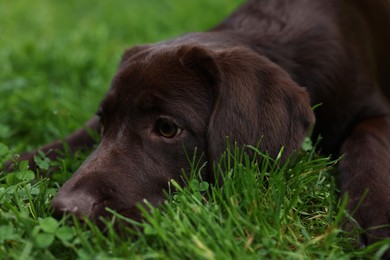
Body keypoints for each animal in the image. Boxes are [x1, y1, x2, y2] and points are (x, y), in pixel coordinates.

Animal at [7, 0, 388, 248]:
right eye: (104, 121)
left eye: (167, 129)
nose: (66, 210)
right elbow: (72, 139)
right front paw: (16, 164)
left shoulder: (374, 107)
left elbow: (365, 138)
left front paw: (369, 219)